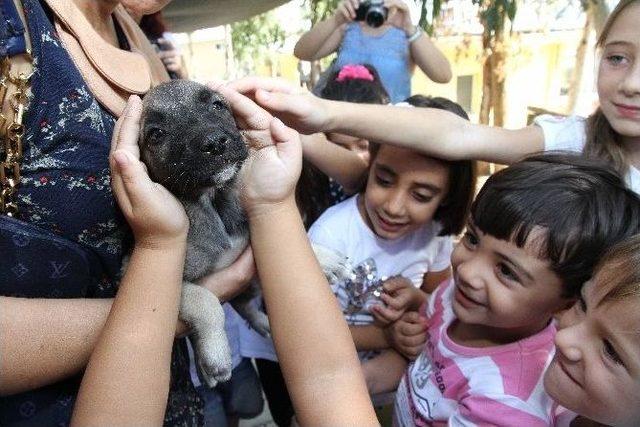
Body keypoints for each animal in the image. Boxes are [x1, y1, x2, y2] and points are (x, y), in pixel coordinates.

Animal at [139, 80, 350, 388]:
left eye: (218, 105)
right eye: (156, 134)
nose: (215, 142)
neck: (213, 201)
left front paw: (325, 258)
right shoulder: (165, 282)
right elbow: (206, 301)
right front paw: (215, 355)